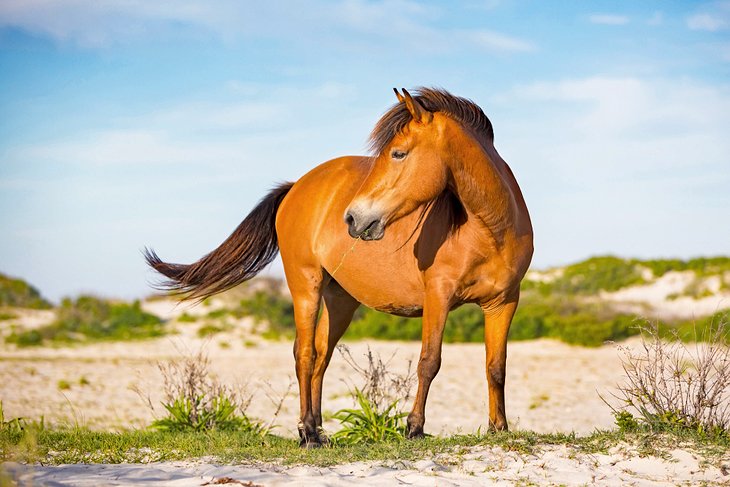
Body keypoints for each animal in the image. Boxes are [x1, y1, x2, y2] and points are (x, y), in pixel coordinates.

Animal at [144, 86, 528, 446]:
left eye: (398, 153)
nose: (354, 218)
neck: (489, 230)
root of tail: (296, 187)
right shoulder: (438, 296)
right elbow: (429, 361)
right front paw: (415, 429)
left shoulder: (504, 302)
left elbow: (496, 367)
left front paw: (499, 428)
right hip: (306, 286)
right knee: (304, 354)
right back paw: (308, 435)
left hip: (340, 299)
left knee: (321, 358)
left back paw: (317, 430)